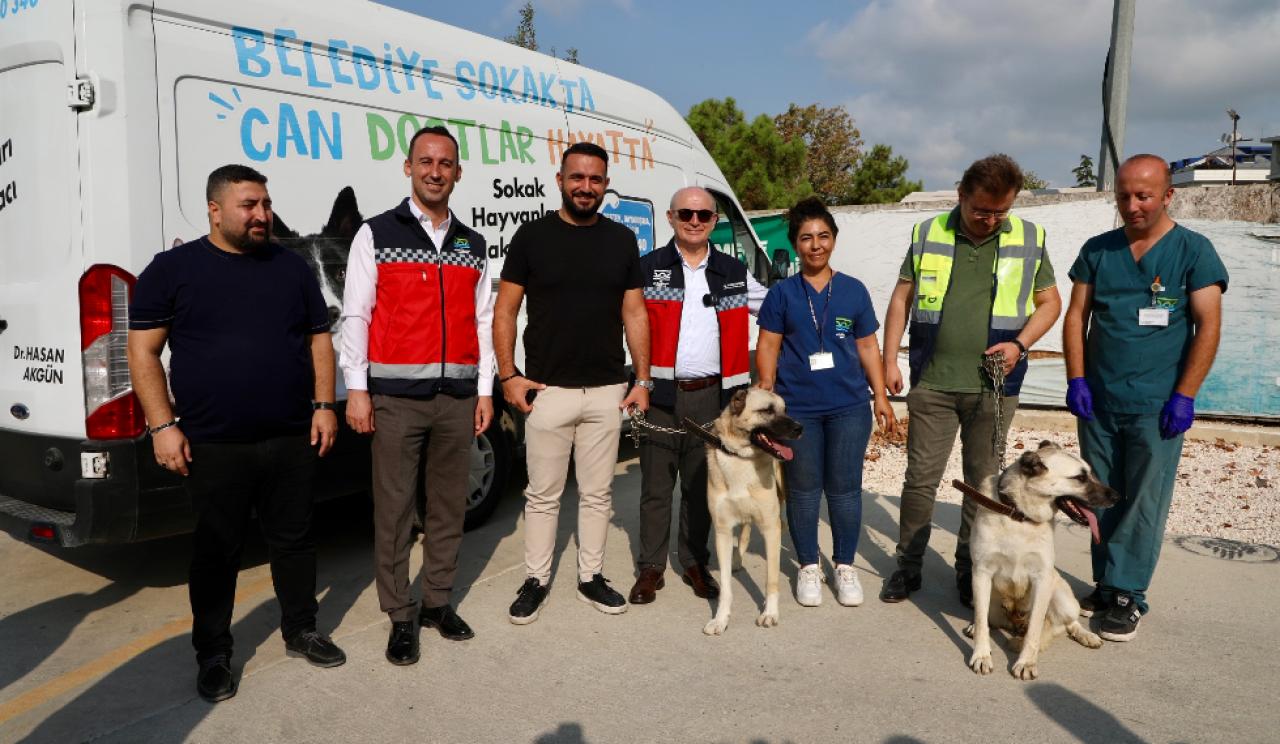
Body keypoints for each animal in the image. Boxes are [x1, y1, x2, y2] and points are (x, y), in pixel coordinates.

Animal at [696, 386, 803, 635]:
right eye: (767, 410)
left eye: (785, 409)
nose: (799, 428)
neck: (740, 458)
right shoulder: (723, 532)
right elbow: (726, 587)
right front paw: (720, 619)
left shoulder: (771, 529)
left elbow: (771, 580)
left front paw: (770, 614)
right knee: (745, 529)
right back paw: (737, 560)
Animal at [962, 440, 1116, 681]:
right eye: (1080, 478)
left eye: (1090, 474)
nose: (1117, 496)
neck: (1019, 516)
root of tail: (1014, 623)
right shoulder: (981, 574)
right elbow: (981, 620)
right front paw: (981, 655)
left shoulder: (1042, 580)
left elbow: (1034, 630)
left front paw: (1026, 662)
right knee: (987, 619)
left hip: (1061, 596)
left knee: (1067, 623)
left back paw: (1085, 635)